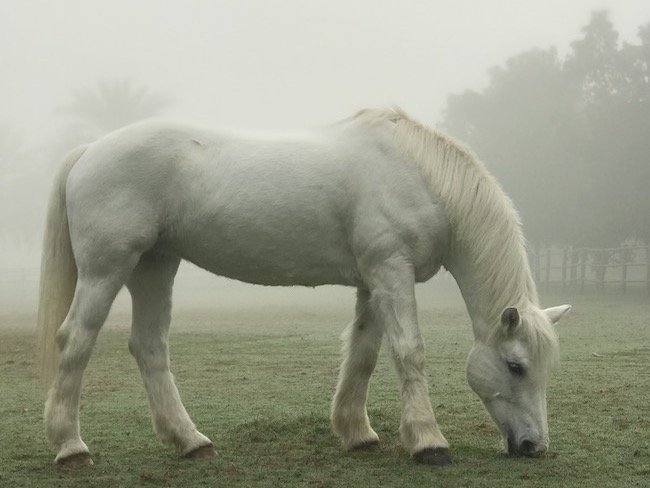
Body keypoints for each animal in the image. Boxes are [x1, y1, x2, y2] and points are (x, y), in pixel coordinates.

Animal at [38, 107, 568, 466]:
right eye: (516, 366)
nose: (534, 446)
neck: (417, 176)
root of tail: (90, 151)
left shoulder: (373, 281)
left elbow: (363, 354)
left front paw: (358, 434)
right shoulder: (391, 271)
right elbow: (409, 352)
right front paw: (428, 441)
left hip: (155, 266)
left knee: (149, 347)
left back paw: (190, 442)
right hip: (107, 270)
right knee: (75, 341)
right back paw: (71, 447)